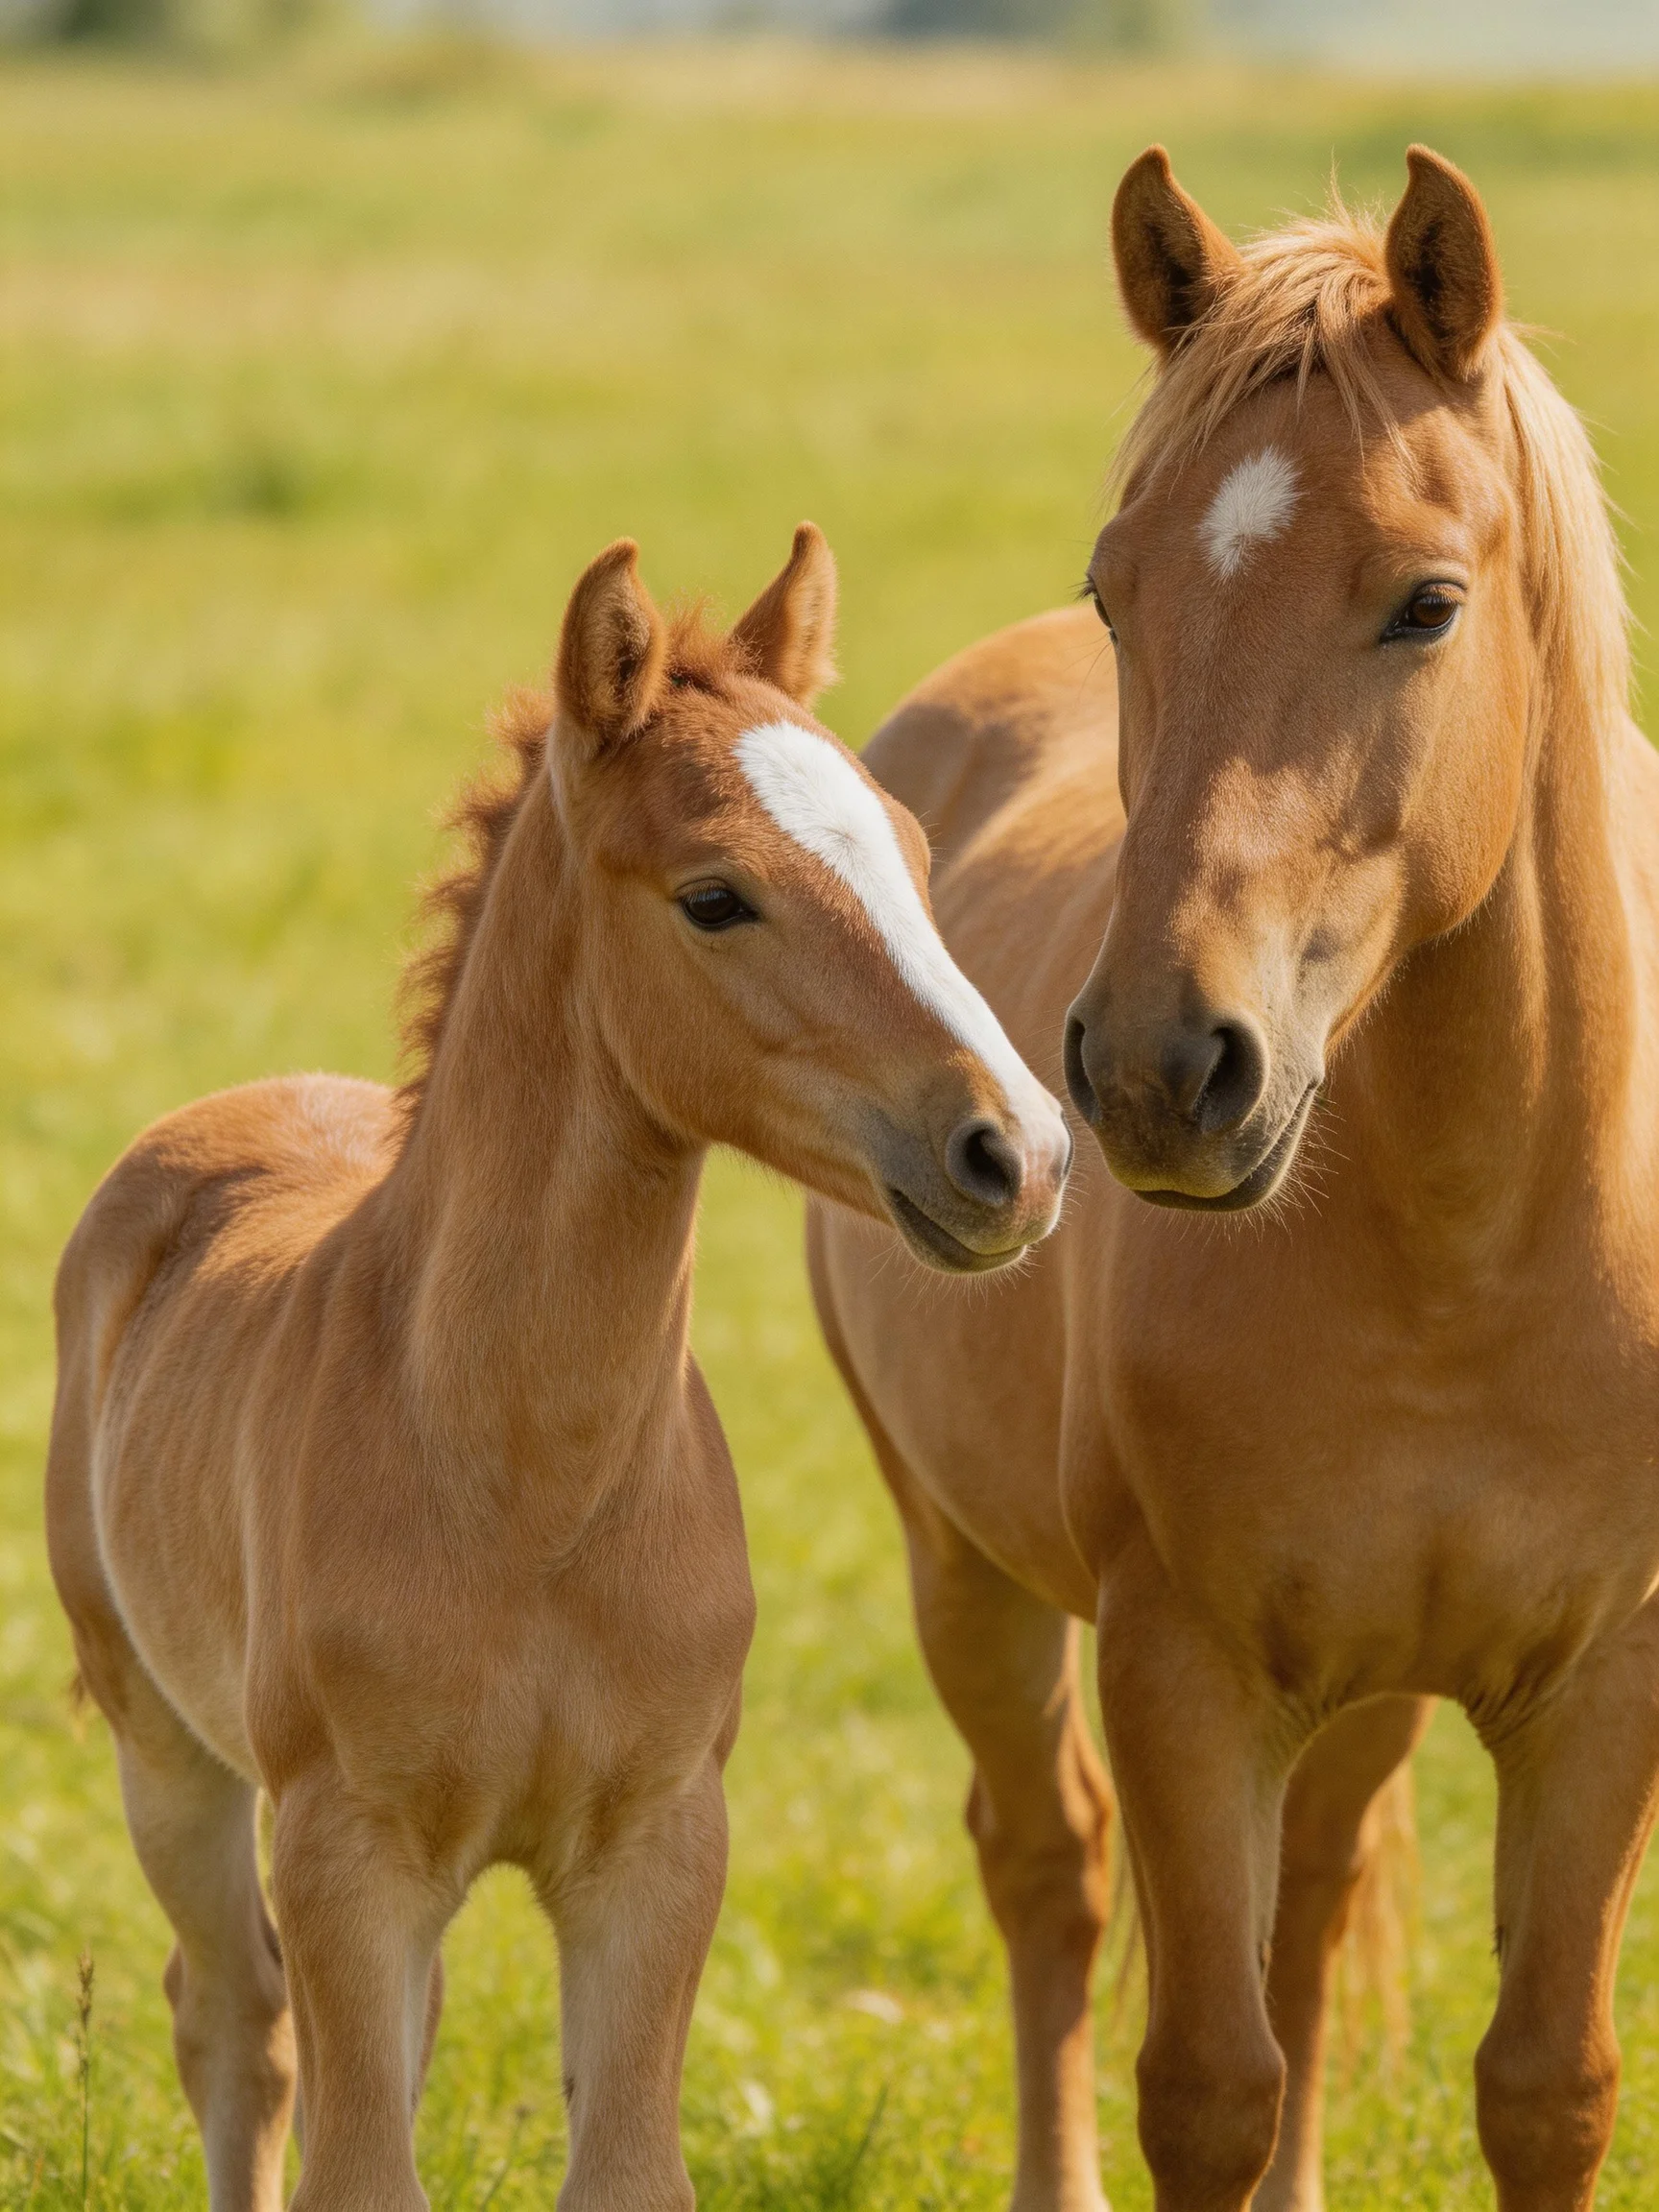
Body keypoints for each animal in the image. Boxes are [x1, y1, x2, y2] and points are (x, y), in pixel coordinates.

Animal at [45, 524, 1071, 2212]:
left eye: (919, 858)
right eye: (716, 898)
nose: (1019, 1153)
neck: (529, 1481)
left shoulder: (659, 1843)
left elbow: (623, 2165)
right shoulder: (346, 1847)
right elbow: (355, 2164)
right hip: (166, 1750)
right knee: (234, 2021)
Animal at [809, 146, 1658, 2212]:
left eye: (1425, 603)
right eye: (1117, 596)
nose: (1152, 1072)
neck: (1475, 1237)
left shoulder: (1602, 1685)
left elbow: (1543, 2084)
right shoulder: (1183, 1674)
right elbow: (1205, 2079)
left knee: (1315, 1901)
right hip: (964, 1566)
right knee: (1045, 1865)